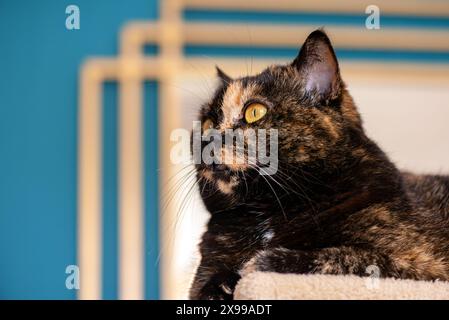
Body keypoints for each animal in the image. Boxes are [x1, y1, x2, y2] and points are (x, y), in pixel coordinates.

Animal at [187, 29, 446, 300]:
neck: (267, 209)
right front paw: (220, 284)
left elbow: (343, 257)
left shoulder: (422, 264)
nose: (207, 139)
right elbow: (205, 286)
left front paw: (263, 261)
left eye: (254, 112)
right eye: (206, 123)